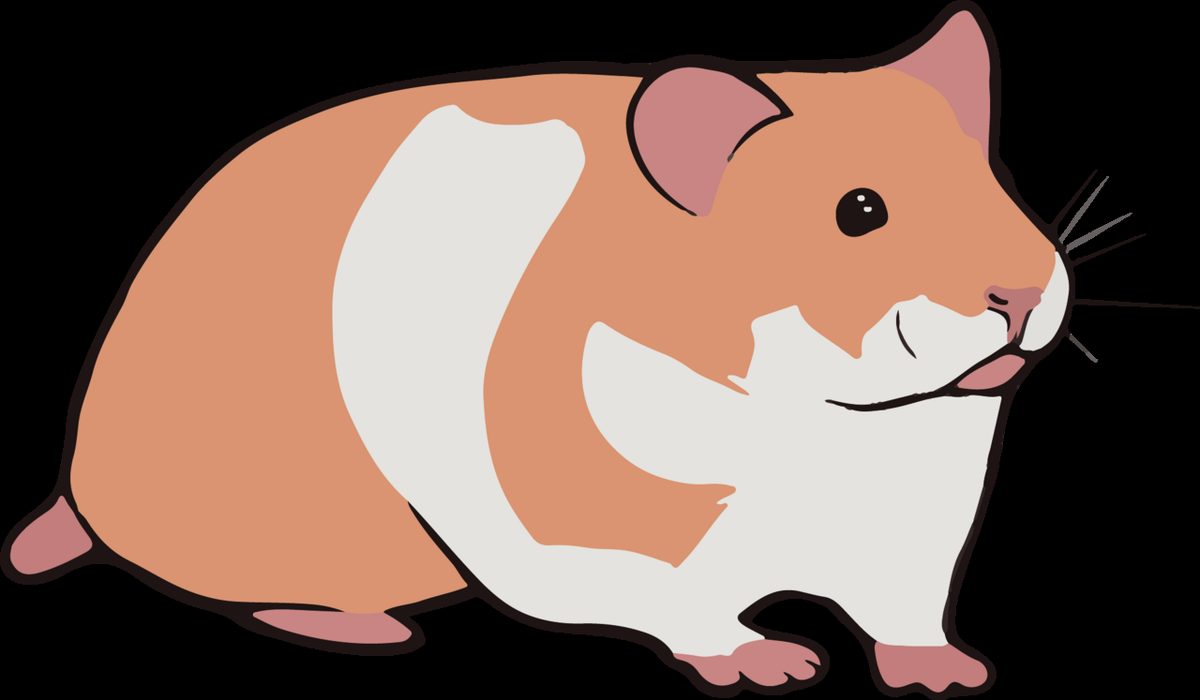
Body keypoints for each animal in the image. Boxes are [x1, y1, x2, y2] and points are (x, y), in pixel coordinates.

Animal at [3, 5, 1072, 696]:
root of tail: (81, 491)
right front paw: (770, 664)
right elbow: (687, 605)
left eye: (996, 183)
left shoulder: (916, 534)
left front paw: (952, 676)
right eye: (859, 211)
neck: (831, 423)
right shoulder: (601, 540)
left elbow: (906, 612)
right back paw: (372, 632)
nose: (1021, 294)